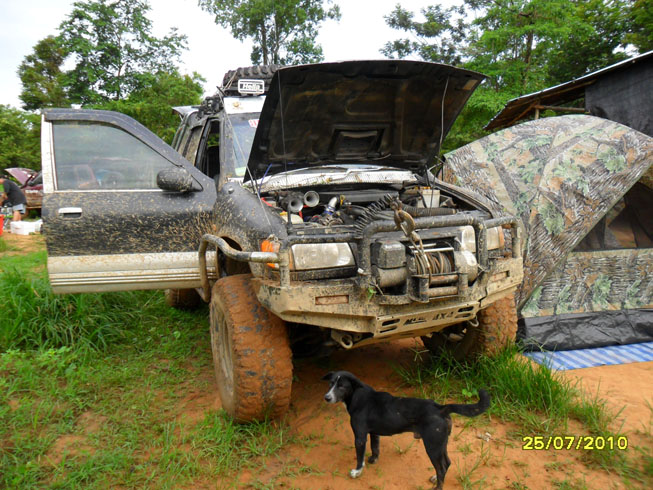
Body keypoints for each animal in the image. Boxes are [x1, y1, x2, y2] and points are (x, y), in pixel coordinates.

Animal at [322, 370, 490, 490]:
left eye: (341, 386)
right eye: (330, 384)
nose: (326, 397)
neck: (358, 395)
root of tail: (441, 408)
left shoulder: (360, 436)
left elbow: (359, 457)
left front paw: (357, 472)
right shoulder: (374, 433)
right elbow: (375, 448)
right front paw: (373, 460)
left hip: (432, 446)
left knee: (441, 467)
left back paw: (437, 487)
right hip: (441, 443)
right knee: (446, 463)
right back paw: (435, 478)